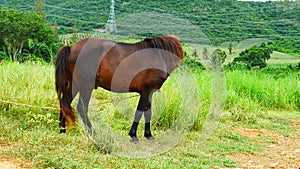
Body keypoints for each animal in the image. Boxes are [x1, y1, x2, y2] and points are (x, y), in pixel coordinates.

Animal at [55, 35, 184, 143]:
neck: (157, 54)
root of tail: (71, 47)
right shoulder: (146, 91)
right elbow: (139, 112)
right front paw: (133, 135)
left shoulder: (149, 93)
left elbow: (148, 113)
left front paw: (148, 135)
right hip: (85, 87)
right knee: (81, 109)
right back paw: (93, 133)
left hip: (74, 85)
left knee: (64, 102)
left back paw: (62, 130)